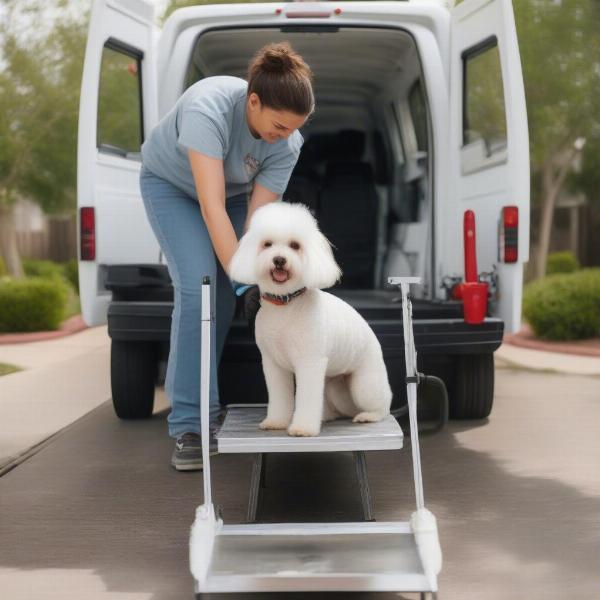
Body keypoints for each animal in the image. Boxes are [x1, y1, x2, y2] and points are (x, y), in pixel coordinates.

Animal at [227, 202, 392, 436]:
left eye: (295, 245)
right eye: (267, 244)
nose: (279, 259)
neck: (286, 305)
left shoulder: (309, 362)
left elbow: (307, 398)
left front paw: (303, 428)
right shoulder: (273, 365)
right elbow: (280, 397)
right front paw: (276, 421)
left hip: (363, 383)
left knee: (382, 404)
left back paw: (368, 416)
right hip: (334, 385)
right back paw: (326, 416)